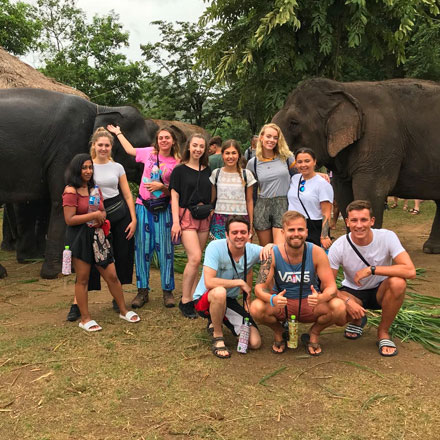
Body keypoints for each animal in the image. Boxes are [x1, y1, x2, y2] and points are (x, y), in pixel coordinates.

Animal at [272, 77, 440, 253]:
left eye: (294, 122)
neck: (342, 89)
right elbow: (344, 195)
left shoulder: (379, 145)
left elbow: (369, 194)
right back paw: (431, 249)